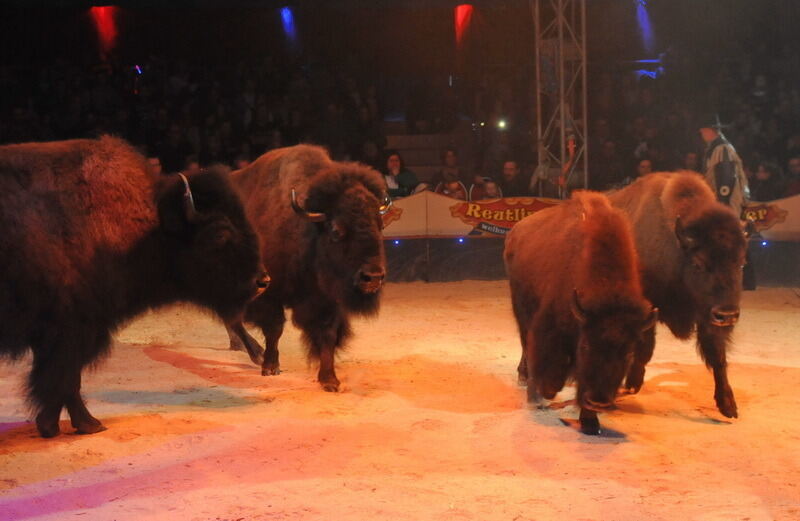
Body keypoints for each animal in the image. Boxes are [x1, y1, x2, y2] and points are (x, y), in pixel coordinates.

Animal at [0, 136, 268, 436]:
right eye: (220, 233)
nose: (262, 281)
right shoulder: (73, 330)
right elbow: (65, 380)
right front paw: (87, 424)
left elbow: (62, 381)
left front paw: (54, 426)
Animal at [227, 145, 390, 390]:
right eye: (336, 230)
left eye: (380, 226)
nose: (373, 277)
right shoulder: (269, 294)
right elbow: (275, 329)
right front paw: (270, 367)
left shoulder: (327, 300)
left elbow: (328, 334)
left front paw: (329, 379)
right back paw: (255, 353)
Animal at [506, 191, 656, 434]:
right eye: (585, 346)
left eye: (628, 353)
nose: (599, 402)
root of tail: (515, 231)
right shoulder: (549, 326)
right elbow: (549, 370)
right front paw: (543, 393)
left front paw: (590, 422)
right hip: (521, 311)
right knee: (525, 345)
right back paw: (527, 382)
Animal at [608, 173, 752, 416]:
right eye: (699, 264)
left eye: (741, 264)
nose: (728, 315)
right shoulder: (648, 309)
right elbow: (644, 349)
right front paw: (632, 383)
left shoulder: (708, 318)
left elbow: (718, 356)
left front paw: (728, 405)